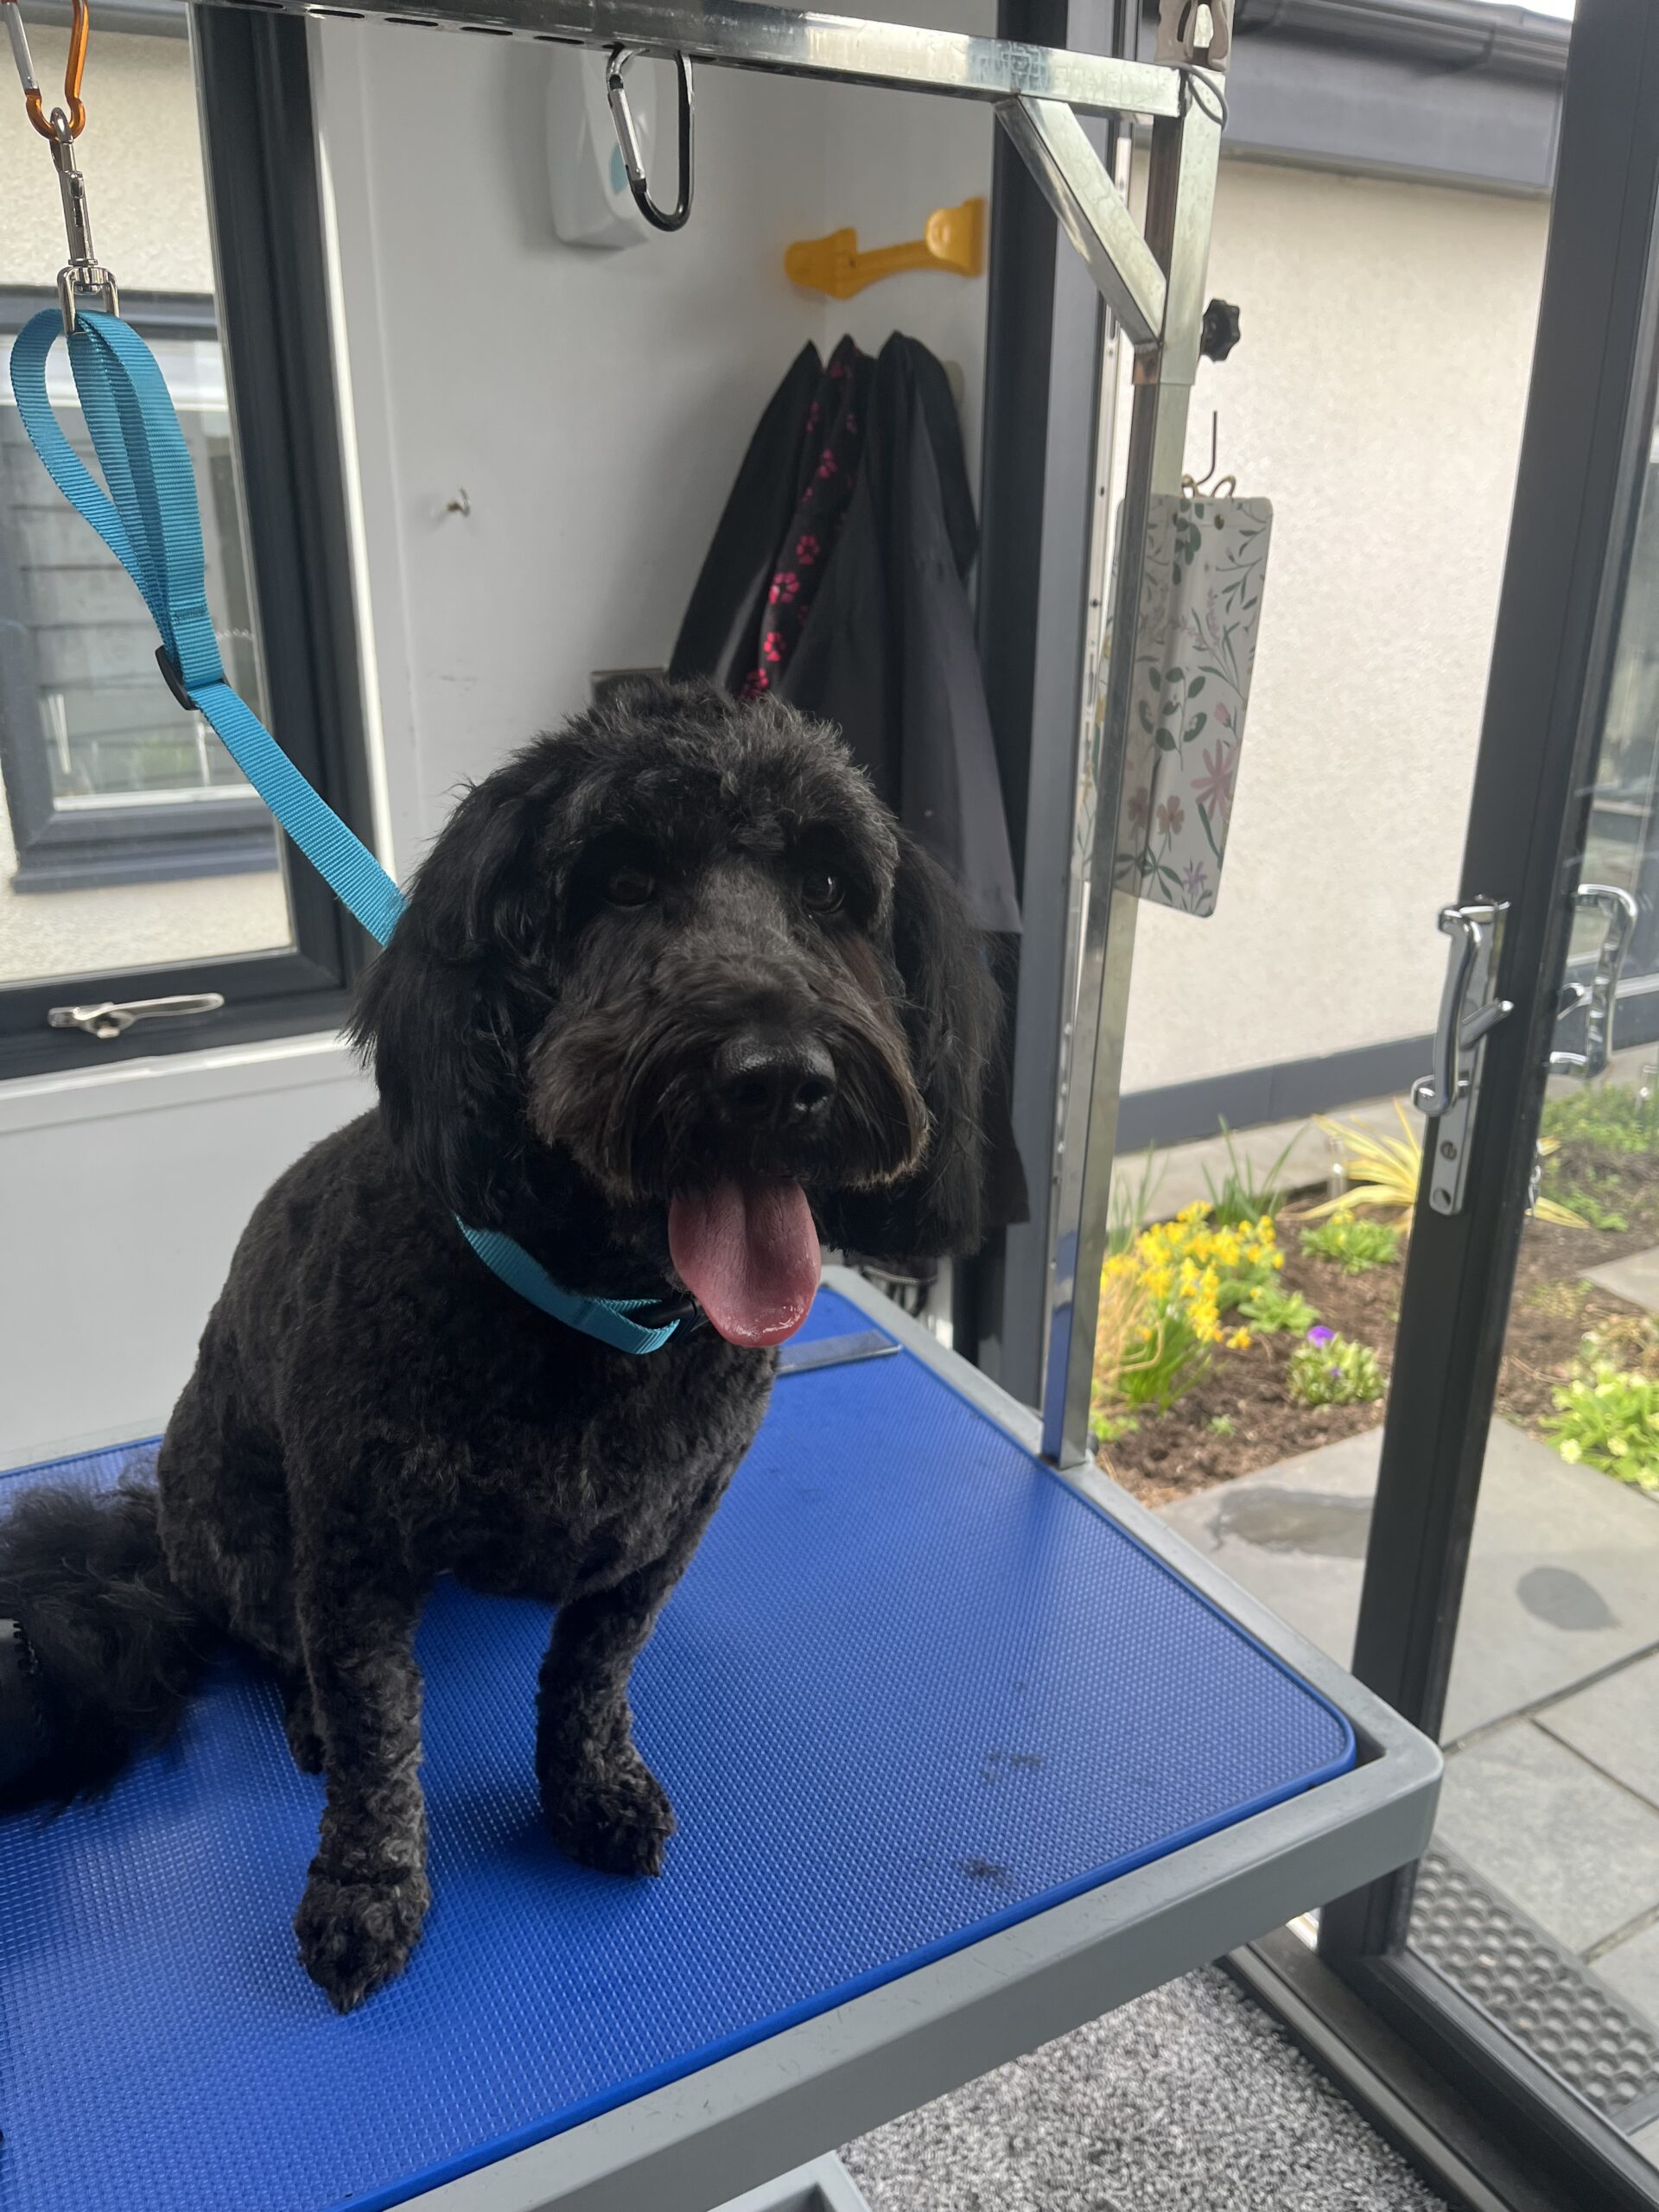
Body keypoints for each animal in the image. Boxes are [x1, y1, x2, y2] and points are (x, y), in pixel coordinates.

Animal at [0, 679, 994, 2011]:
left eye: (833, 889)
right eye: (619, 882)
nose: (781, 1075)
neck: (589, 1317)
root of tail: (147, 1531)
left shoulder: (663, 1537)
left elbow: (590, 1678)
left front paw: (591, 1793)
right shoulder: (354, 1552)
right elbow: (378, 1735)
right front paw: (367, 1889)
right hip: (241, 1534)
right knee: (278, 1645)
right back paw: (299, 1712)